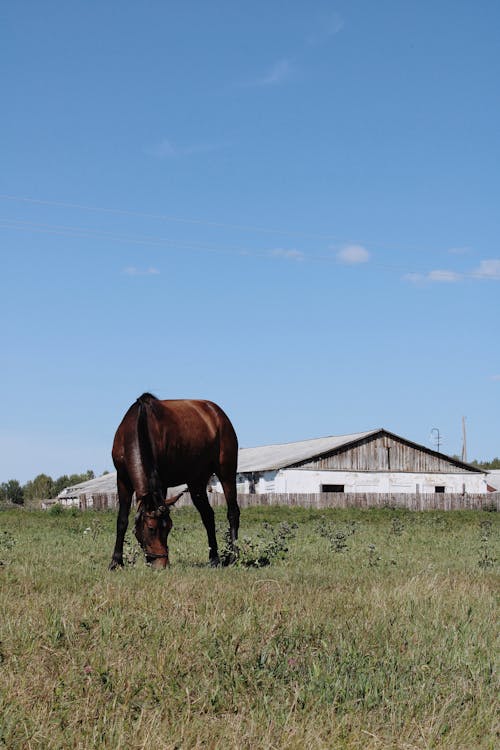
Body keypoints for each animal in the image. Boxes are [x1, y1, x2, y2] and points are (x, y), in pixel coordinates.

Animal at [109, 394, 240, 568]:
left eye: (169, 528)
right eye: (151, 528)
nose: (161, 564)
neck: (138, 425)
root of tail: (218, 414)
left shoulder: (161, 482)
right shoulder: (122, 479)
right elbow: (122, 520)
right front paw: (116, 562)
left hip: (226, 472)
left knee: (232, 512)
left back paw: (233, 557)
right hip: (196, 481)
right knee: (207, 515)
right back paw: (214, 558)